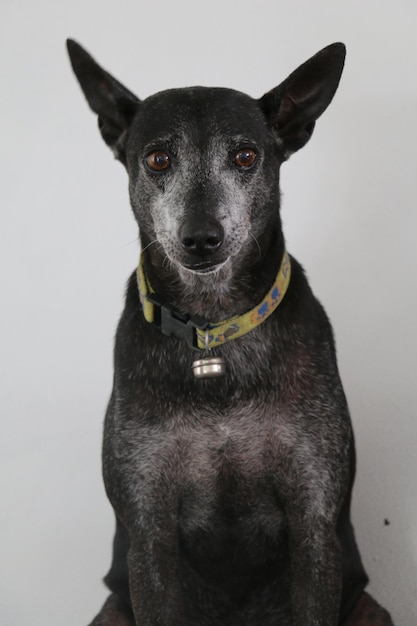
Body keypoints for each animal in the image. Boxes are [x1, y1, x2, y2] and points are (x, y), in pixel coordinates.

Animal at [66, 41, 392, 620]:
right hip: (110, 611)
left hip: (371, 607)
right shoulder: (148, 531)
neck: (213, 330)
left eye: (245, 156)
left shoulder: (314, 519)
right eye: (158, 158)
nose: (201, 238)